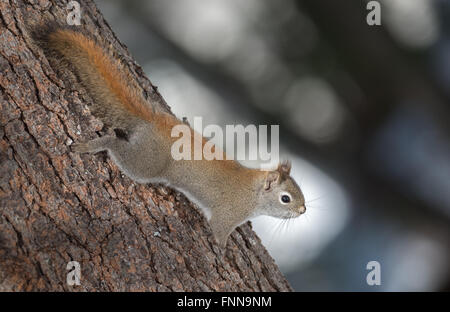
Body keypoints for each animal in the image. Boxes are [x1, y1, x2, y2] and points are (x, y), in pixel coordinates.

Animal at [35, 25, 306, 247]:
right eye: (285, 198)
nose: (303, 210)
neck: (253, 192)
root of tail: (155, 122)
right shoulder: (227, 215)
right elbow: (219, 234)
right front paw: (221, 249)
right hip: (146, 163)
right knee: (116, 145)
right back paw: (94, 145)